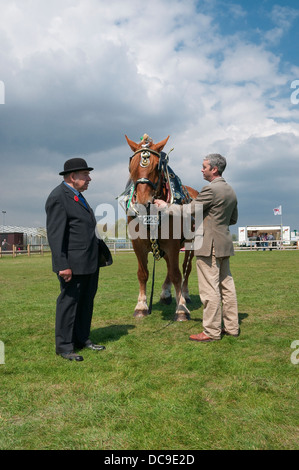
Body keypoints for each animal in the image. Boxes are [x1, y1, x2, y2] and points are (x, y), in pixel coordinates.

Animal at [124, 134, 199, 322]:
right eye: (132, 167)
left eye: (156, 168)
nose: (143, 202)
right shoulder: (138, 243)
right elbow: (143, 273)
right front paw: (141, 306)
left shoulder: (172, 243)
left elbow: (177, 274)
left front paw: (181, 309)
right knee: (169, 267)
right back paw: (166, 293)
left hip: (190, 244)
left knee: (185, 268)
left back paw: (184, 294)